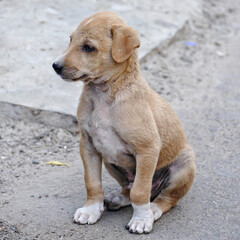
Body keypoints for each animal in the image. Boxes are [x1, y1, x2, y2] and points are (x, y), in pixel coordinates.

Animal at [52, 11, 195, 234]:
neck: (104, 95)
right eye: (70, 40)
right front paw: (91, 210)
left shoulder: (147, 148)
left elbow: (140, 191)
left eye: (88, 47)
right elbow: (92, 183)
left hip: (185, 164)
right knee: (128, 188)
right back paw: (118, 198)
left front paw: (142, 219)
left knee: (165, 198)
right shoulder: (88, 145)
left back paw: (153, 209)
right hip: (112, 162)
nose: (55, 66)